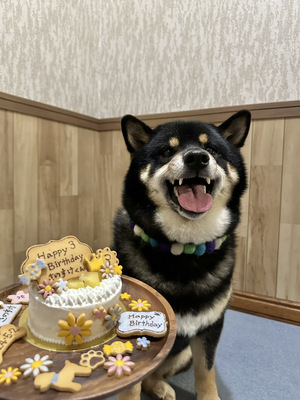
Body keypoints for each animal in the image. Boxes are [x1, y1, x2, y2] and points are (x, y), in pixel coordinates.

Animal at [114, 110, 251, 400]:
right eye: (167, 151)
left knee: (154, 374)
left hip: (184, 352)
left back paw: (161, 388)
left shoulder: (210, 328)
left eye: (212, 149)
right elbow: (130, 387)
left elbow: (206, 372)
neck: (183, 250)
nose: (197, 157)